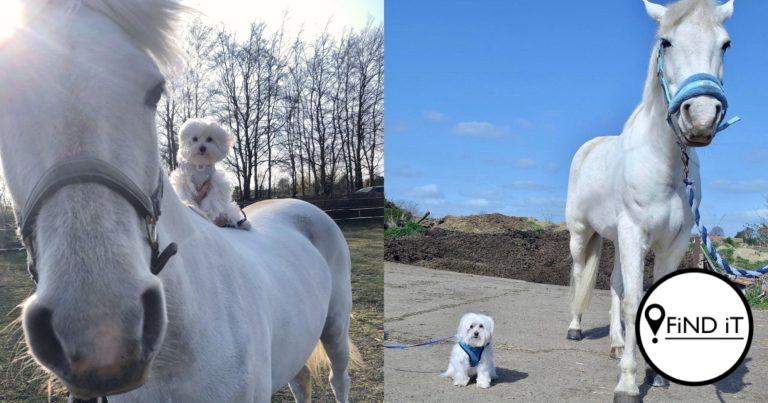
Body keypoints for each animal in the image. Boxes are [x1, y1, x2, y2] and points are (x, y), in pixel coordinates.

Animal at [564, 0, 735, 401]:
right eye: (666, 42)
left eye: (725, 44)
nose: (701, 118)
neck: (666, 162)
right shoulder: (634, 234)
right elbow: (632, 302)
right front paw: (628, 383)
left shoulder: (672, 243)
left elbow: (636, 296)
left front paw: (657, 375)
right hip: (581, 234)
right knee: (580, 274)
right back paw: (575, 328)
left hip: (614, 239)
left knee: (613, 284)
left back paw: (614, 344)